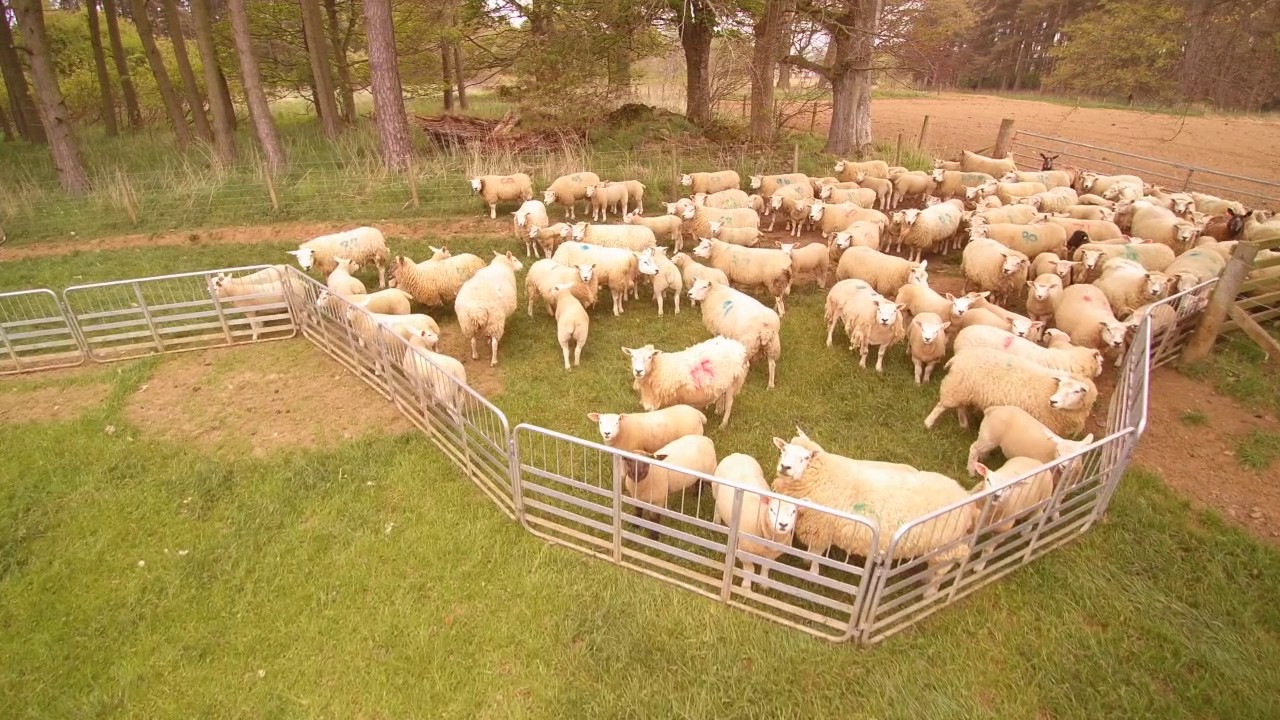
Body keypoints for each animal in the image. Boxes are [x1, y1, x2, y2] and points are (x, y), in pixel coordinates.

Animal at [621, 336, 750, 428]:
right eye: (631, 356)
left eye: (650, 357)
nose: (638, 371)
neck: (659, 368)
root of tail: (738, 346)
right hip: (722, 382)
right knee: (721, 395)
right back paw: (718, 410)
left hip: (732, 381)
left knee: (729, 403)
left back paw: (723, 424)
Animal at [711, 453, 798, 592]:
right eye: (772, 510)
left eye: (793, 512)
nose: (783, 525)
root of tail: (738, 454)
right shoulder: (744, 551)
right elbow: (749, 570)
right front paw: (746, 587)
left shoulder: (773, 555)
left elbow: (766, 567)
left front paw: (763, 584)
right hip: (715, 488)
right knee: (717, 505)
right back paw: (717, 520)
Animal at [771, 430, 975, 593]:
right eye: (784, 450)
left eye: (805, 458)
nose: (785, 467)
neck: (823, 476)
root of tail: (965, 498)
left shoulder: (821, 529)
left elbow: (814, 555)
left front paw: (811, 570)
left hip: (945, 547)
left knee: (941, 570)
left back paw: (929, 592)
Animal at [925, 349, 1098, 437]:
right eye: (1060, 385)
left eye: (1077, 391)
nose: (1053, 401)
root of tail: (959, 357)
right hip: (956, 387)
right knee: (941, 406)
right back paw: (928, 423)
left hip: (965, 389)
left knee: (960, 407)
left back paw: (963, 425)